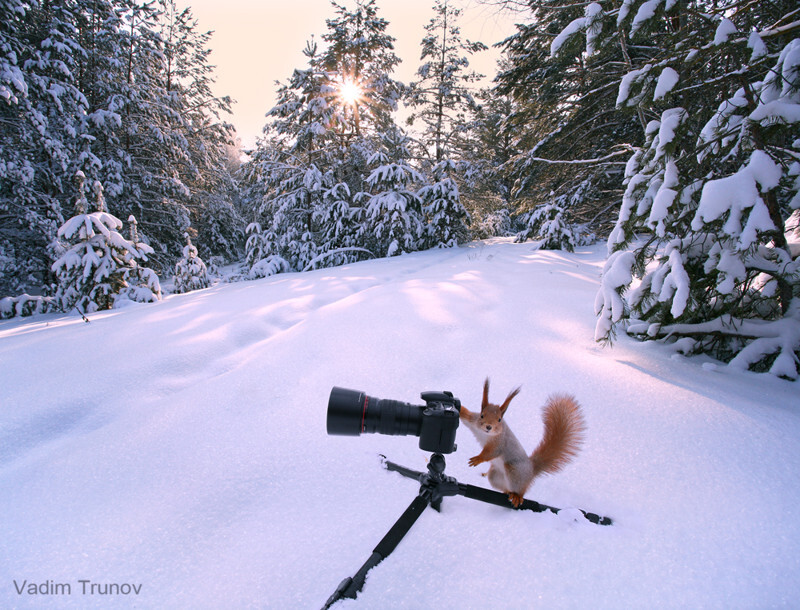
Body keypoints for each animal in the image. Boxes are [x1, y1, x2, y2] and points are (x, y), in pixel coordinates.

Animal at [460, 378, 584, 506]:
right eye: (482, 415)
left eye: (499, 419)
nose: (488, 427)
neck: (486, 434)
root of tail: (532, 468)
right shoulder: (473, 420)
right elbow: (465, 415)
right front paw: (459, 407)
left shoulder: (500, 442)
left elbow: (491, 453)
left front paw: (478, 458)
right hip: (495, 477)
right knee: (506, 487)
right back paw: (508, 492)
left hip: (515, 472)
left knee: (521, 490)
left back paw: (517, 496)